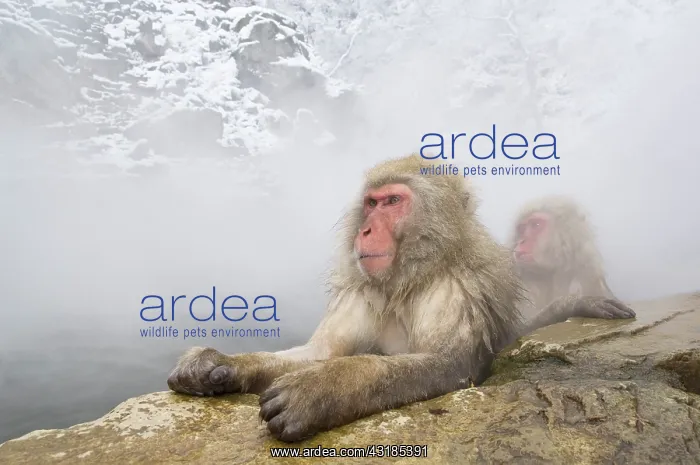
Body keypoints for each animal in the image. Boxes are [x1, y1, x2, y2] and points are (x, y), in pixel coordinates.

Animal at [166, 154, 635, 443]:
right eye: (371, 204)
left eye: (393, 201)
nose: (366, 229)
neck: (410, 274)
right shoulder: (361, 288)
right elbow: (322, 351)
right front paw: (222, 364)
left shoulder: (457, 286)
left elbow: (448, 365)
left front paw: (322, 389)